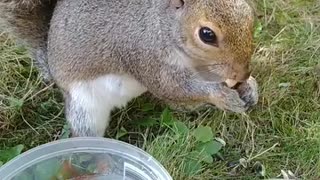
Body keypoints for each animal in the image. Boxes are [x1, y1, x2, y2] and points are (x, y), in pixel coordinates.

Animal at [0, 0, 258, 136]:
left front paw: (250, 88)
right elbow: (173, 86)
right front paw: (223, 96)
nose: (243, 73)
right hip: (84, 105)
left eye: (249, 13)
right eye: (207, 34)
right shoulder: (145, 55)